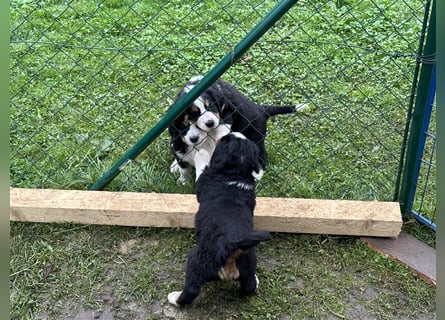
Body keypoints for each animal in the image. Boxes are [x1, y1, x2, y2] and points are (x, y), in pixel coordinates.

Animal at [166, 75, 306, 184]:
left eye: (210, 107)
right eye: (194, 114)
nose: (210, 123)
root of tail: (261, 109)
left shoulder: (228, 108)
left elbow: (223, 122)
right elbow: (184, 169)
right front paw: (183, 181)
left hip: (255, 137)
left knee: (262, 158)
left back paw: (255, 176)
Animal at [167, 132, 268, 308]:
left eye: (224, 140)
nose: (231, 133)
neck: (235, 174)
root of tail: (230, 248)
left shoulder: (203, 181)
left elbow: (201, 169)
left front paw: (202, 154)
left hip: (197, 260)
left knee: (191, 290)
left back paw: (174, 298)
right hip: (248, 261)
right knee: (248, 285)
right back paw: (255, 280)